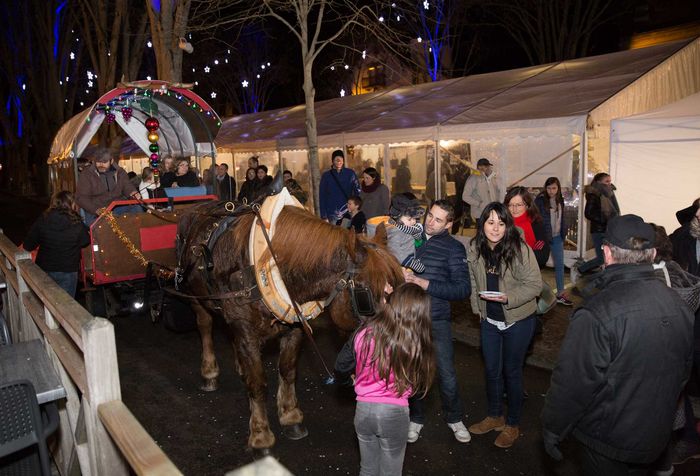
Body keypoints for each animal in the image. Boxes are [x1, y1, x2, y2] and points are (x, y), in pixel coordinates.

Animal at [178, 201, 402, 450]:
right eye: (367, 297)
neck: (265, 266)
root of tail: (196, 207)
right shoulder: (246, 328)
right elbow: (257, 381)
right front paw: (260, 433)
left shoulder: (295, 328)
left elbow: (287, 370)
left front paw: (290, 416)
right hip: (196, 297)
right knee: (205, 326)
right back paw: (209, 372)